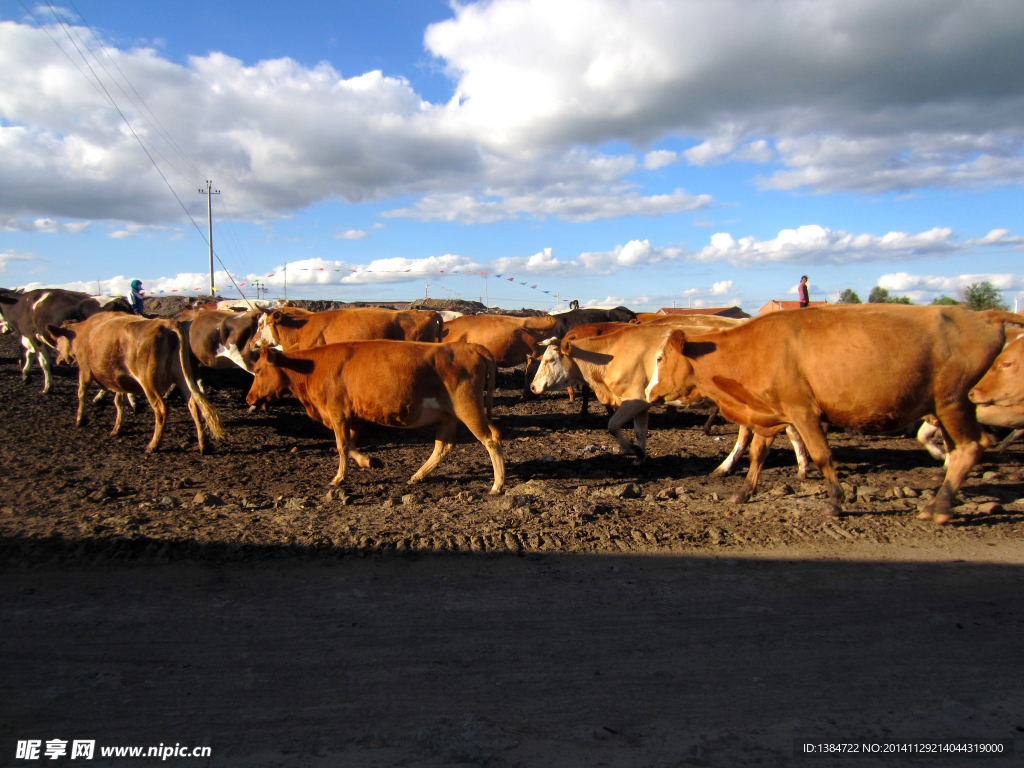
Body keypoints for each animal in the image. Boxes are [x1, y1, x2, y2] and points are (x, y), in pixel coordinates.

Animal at [247, 342, 503, 493]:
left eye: (257, 370)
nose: (249, 398)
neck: (312, 368)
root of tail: (471, 347)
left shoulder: (337, 413)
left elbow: (341, 446)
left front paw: (339, 478)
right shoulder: (354, 416)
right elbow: (349, 444)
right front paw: (370, 461)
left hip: (468, 407)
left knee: (491, 439)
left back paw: (498, 484)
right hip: (448, 415)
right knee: (444, 446)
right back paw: (418, 476)